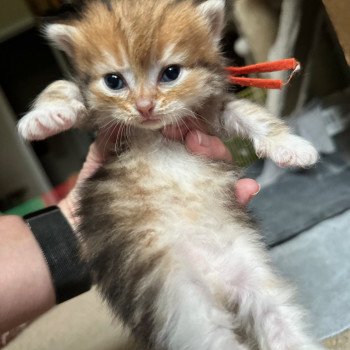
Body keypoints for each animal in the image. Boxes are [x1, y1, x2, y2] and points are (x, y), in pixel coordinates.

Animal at [19, 0, 322, 350]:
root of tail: (216, 282)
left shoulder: (210, 115)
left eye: (171, 73)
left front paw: (292, 147)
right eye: (113, 81)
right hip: (184, 312)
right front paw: (44, 117)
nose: (144, 106)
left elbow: (251, 114)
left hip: (254, 278)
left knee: (277, 316)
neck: (154, 131)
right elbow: (62, 85)